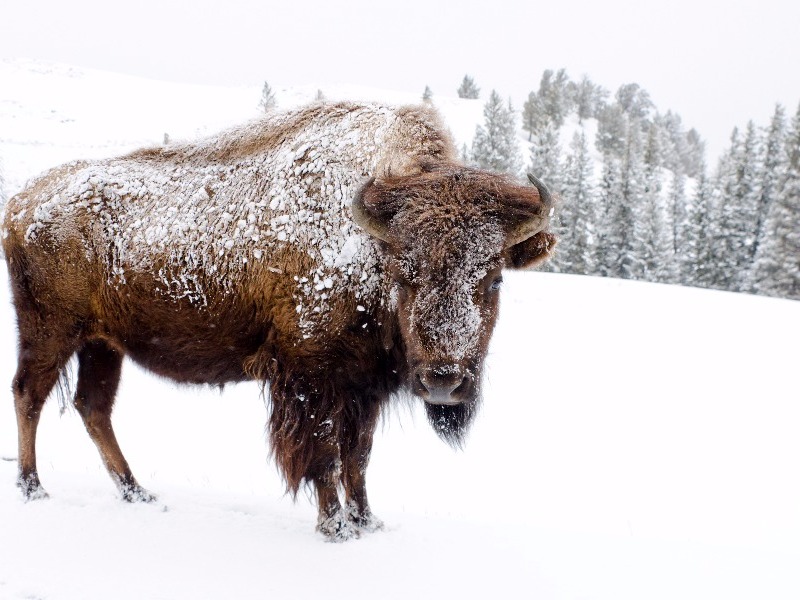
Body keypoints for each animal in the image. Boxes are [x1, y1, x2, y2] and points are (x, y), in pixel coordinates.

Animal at [3, 101, 552, 540]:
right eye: (405, 274)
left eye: (494, 279)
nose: (444, 382)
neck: (370, 242)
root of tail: (21, 202)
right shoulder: (313, 377)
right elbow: (324, 453)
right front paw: (335, 528)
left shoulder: (365, 387)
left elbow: (359, 456)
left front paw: (367, 522)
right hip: (50, 331)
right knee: (29, 394)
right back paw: (33, 488)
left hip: (103, 343)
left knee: (93, 407)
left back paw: (138, 493)